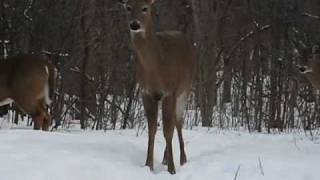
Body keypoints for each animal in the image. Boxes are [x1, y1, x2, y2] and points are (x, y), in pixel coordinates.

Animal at [120, 0, 195, 174]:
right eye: (128, 7)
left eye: (145, 8)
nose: (134, 24)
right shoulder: (146, 92)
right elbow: (152, 129)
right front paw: (148, 165)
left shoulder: (170, 91)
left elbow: (167, 131)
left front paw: (172, 170)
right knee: (172, 122)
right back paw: (165, 158)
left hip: (184, 90)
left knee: (178, 122)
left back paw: (182, 159)